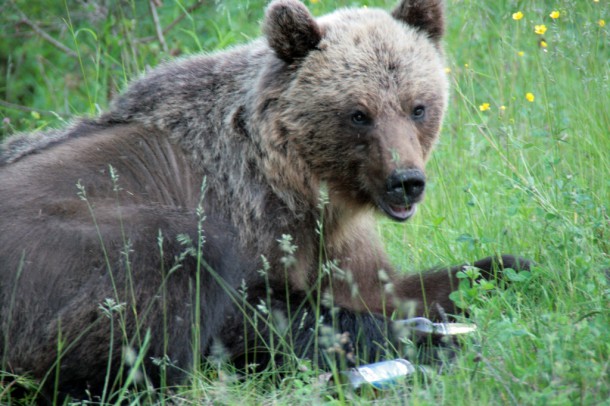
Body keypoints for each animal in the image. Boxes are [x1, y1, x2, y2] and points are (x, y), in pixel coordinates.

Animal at [0, 0, 524, 402]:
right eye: (359, 113)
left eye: (418, 106)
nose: (406, 181)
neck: (303, 184)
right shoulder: (248, 218)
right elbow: (261, 316)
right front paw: (429, 345)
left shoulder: (337, 241)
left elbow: (396, 287)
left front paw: (504, 270)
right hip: (64, 253)